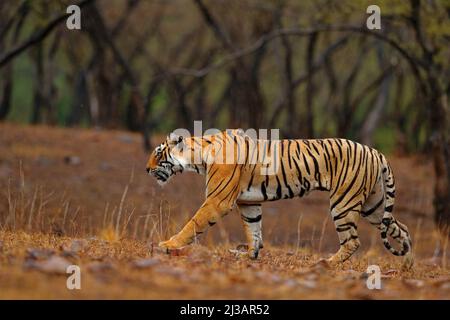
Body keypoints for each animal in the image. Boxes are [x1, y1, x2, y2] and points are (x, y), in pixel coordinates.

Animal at [146, 129, 414, 266]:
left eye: (158, 154)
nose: (146, 170)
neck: (198, 156)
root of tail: (377, 152)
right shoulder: (249, 201)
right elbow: (254, 231)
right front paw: (249, 255)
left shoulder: (217, 201)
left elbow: (193, 224)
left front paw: (169, 245)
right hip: (374, 206)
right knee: (402, 229)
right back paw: (408, 265)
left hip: (344, 202)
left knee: (352, 242)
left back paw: (326, 263)